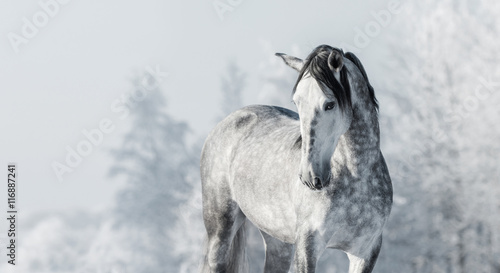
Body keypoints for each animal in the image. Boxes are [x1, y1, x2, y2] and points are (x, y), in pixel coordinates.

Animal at [201, 44, 392, 272]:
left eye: (330, 104)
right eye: (297, 102)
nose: (310, 176)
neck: (356, 178)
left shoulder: (365, 251)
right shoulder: (308, 245)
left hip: (278, 241)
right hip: (220, 230)